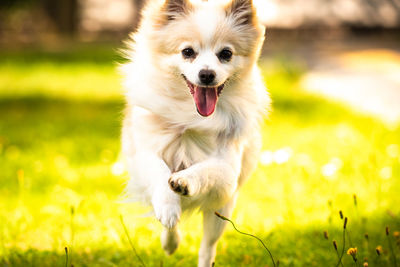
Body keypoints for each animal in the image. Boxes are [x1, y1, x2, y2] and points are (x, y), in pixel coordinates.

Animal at [120, 0, 268, 266]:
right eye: (187, 52)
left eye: (226, 54)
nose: (207, 74)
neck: (191, 115)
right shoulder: (144, 153)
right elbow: (159, 172)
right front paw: (168, 206)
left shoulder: (228, 172)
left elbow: (206, 169)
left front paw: (185, 180)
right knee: (170, 224)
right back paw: (170, 239)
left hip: (221, 212)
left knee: (207, 247)